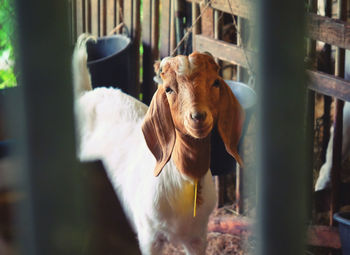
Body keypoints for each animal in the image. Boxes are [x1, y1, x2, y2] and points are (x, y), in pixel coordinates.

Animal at [73, 34, 245, 255]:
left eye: (215, 82)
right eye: (169, 89)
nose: (198, 117)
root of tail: (85, 93)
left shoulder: (198, 238)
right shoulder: (149, 237)